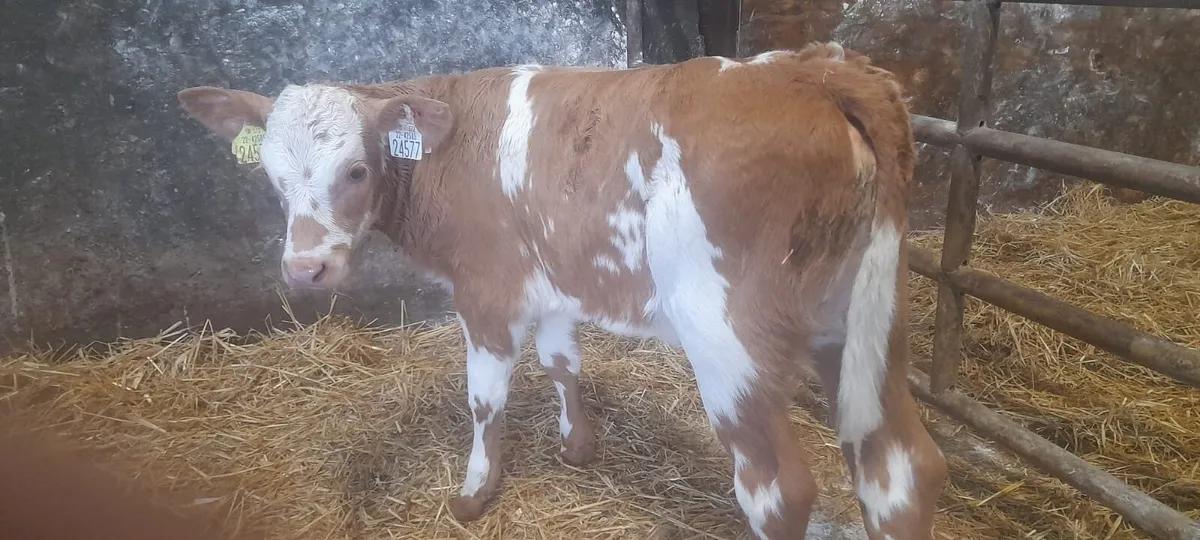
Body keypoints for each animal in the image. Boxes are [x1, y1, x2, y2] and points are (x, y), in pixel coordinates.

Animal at [177, 42, 947, 539]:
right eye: (272, 176)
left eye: (357, 170)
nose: (305, 268)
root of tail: (812, 72)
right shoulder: (548, 283)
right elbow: (561, 361)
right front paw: (577, 446)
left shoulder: (486, 290)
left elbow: (485, 400)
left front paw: (473, 493)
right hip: (870, 319)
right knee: (900, 471)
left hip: (729, 339)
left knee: (778, 492)